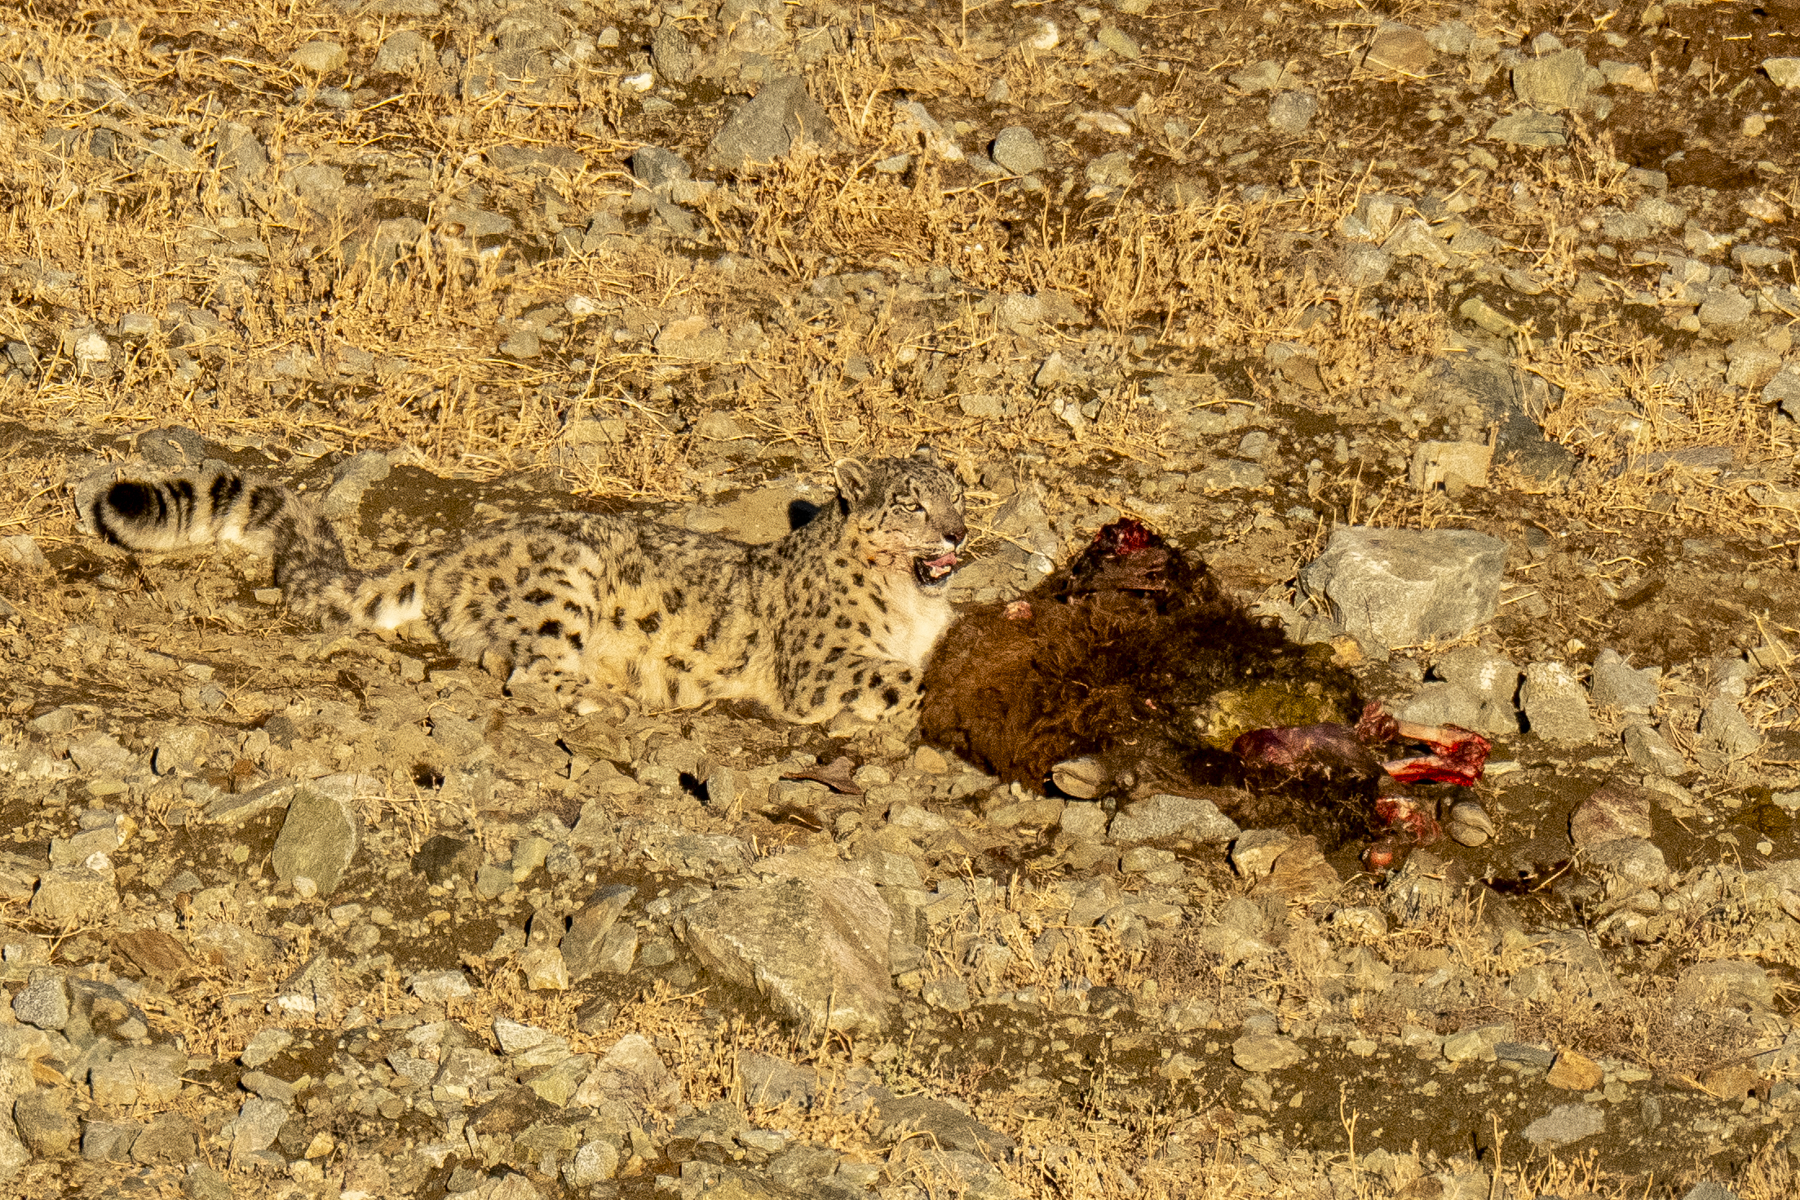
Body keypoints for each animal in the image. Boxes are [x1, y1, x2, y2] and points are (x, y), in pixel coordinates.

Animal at [82, 448, 967, 724]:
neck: (915, 606)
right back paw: (607, 698)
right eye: (911, 501)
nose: (958, 533)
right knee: (528, 670)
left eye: (959, 489)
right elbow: (900, 678)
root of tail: (452, 547)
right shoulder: (820, 665)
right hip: (562, 584)